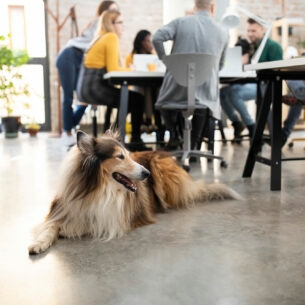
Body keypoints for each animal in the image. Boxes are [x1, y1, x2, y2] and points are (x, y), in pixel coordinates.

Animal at [27, 129, 240, 254]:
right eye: (120, 157)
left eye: (128, 155)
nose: (146, 174)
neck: (97, 190)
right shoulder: (62, 209)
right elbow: (50, 226)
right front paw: (39, 243)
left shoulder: (112, 218)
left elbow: (85, 223)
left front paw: (69, 229)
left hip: (160, 168)